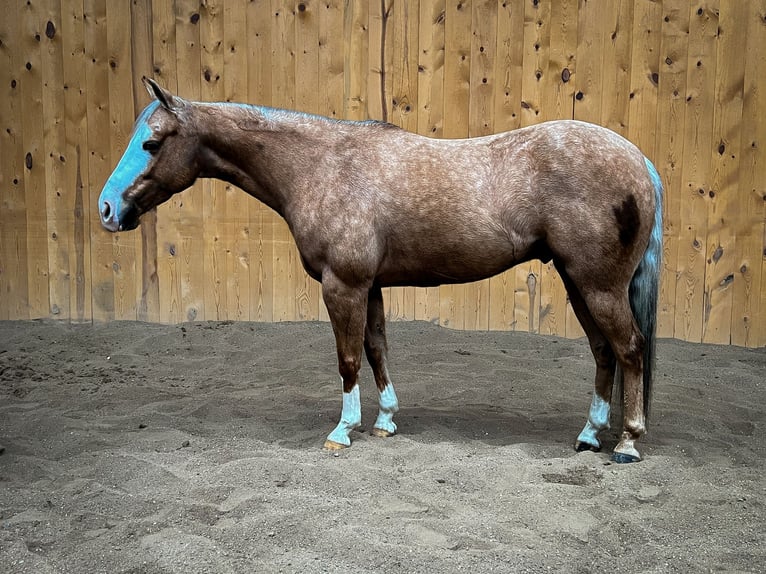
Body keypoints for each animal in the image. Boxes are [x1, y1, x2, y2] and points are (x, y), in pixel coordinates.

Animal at [99, 77, 664, 464]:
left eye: (151, 143)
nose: (107, 209)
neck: (323, 168)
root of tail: (637, 159)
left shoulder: (342, 286)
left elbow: (349, 359)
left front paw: (342, 431)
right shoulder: (368, 287)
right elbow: (376, 351)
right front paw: (385, 422)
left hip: (599, 286)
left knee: (630, 349)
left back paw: (628, 443)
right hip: (578, 282)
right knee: (604, 352)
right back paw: (589, 435)